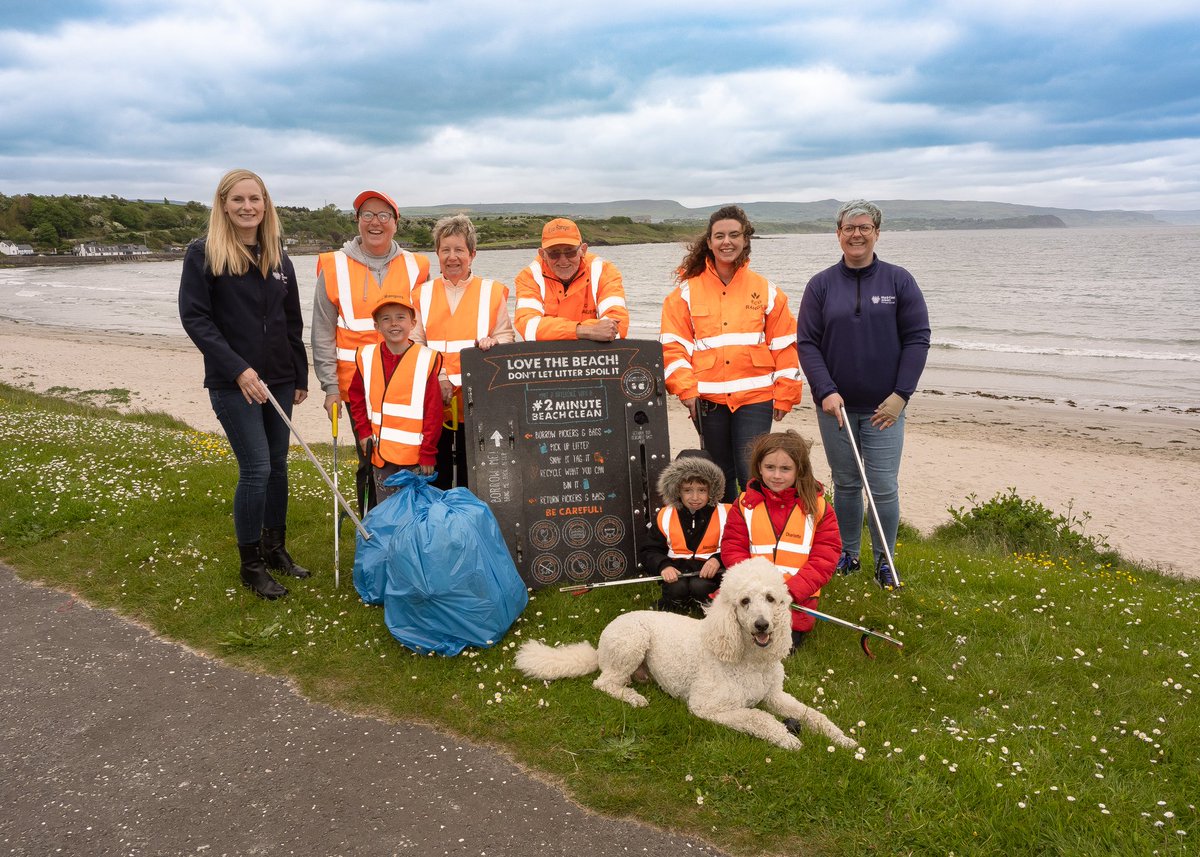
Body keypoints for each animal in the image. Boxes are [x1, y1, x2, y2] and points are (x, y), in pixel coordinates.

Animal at [513, 554, 854, 748]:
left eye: (771, 598)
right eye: (744, 601)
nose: (762, 625)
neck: (748, 658)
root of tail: (599, 647)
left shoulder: (775, 696)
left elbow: (813, 715)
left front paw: (843, 739)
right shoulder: (709, 707)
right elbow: (758, 718)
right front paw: (787, 739)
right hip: (632, 642)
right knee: (605, 682)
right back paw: (634, 698)